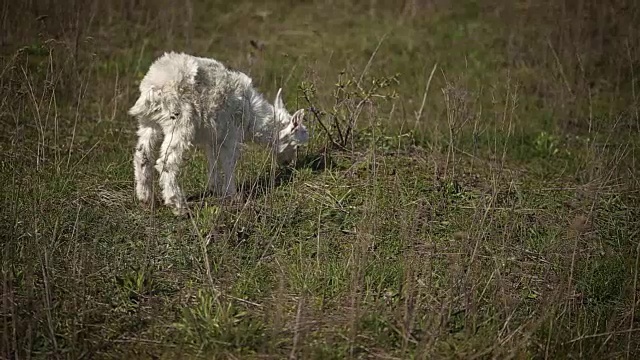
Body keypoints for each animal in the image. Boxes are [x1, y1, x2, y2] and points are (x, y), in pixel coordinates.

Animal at [129, 52, 308, 215]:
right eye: (296, 144)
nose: (289, 164)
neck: (252, 113)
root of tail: (153, 88)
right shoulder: (232, 135)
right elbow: (229, 163)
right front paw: (233, 195)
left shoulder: (213, 136)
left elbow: (213, 160)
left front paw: (215, 189)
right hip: (179, 122)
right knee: (167, 162)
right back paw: (179, 207)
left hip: (149, 123)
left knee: (142, 155)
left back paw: (146, 199)